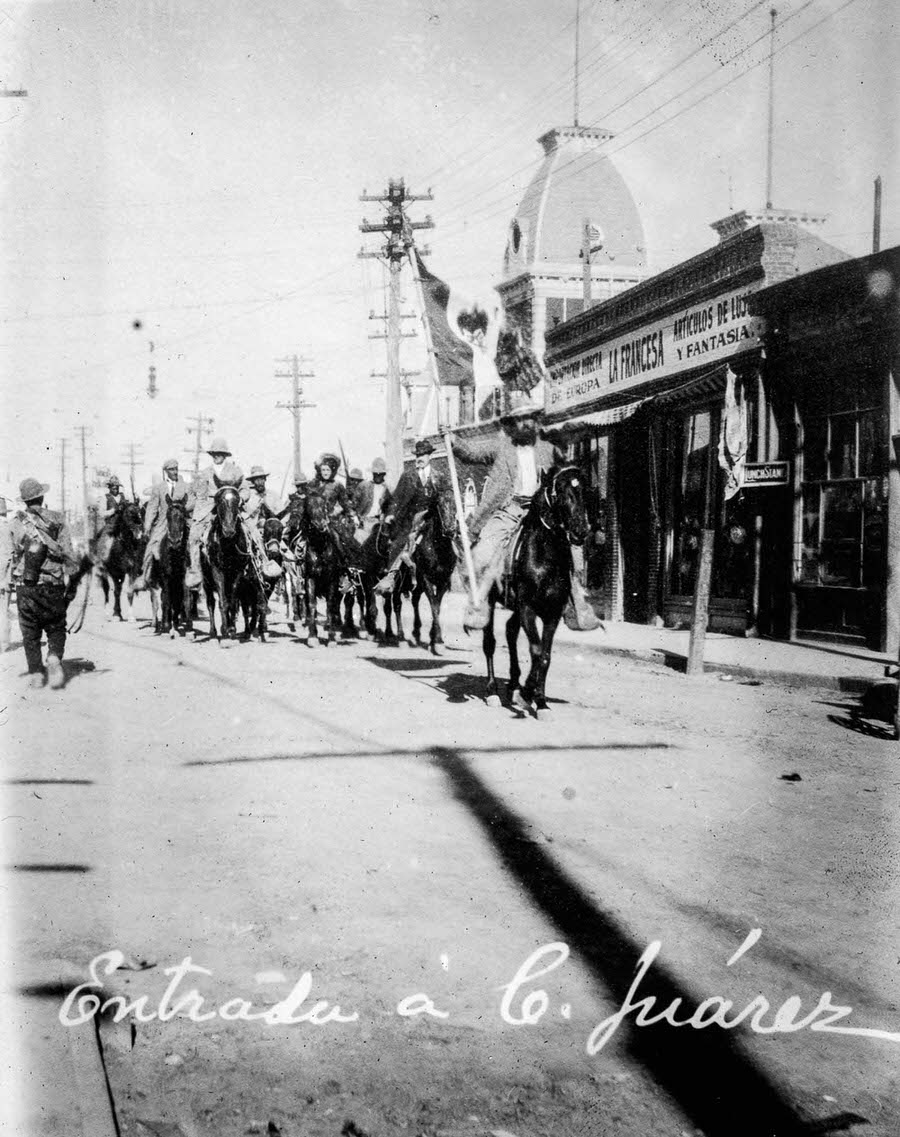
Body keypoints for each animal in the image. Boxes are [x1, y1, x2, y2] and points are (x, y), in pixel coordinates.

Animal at [481, 463, 595, 718]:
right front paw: (526, 696)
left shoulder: (553, 612)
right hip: (490, 601)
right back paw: (492, 691)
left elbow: (545, 656)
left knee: (510, 631)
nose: (581, 530)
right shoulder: (528, 608)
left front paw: (540, 701)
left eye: (585, 489)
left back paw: (514, 685)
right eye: (560, 490)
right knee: (490, 642)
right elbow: (535, 649)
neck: (545, 554)